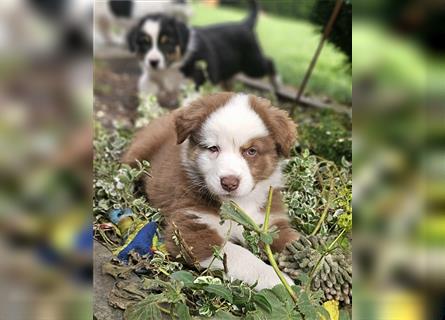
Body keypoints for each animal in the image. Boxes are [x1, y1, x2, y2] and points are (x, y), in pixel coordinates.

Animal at [122, 92, 298, 290]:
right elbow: (241, 255)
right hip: (138, 153)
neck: (236, 205)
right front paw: (278, 281)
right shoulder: (191, 229)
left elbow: (288, 241)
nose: (229, 183)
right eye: (213, 148)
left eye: (251, 151)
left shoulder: (269, 223)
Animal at [125, 0, 278, 95]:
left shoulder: (197, 84)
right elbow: (146, 87)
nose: (153, 62)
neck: (172, 66)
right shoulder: (150, 76)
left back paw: (276, 83)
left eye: (167, 42)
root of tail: (245, 24)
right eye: (144, 43)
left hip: (253, 65)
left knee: (269, 62)